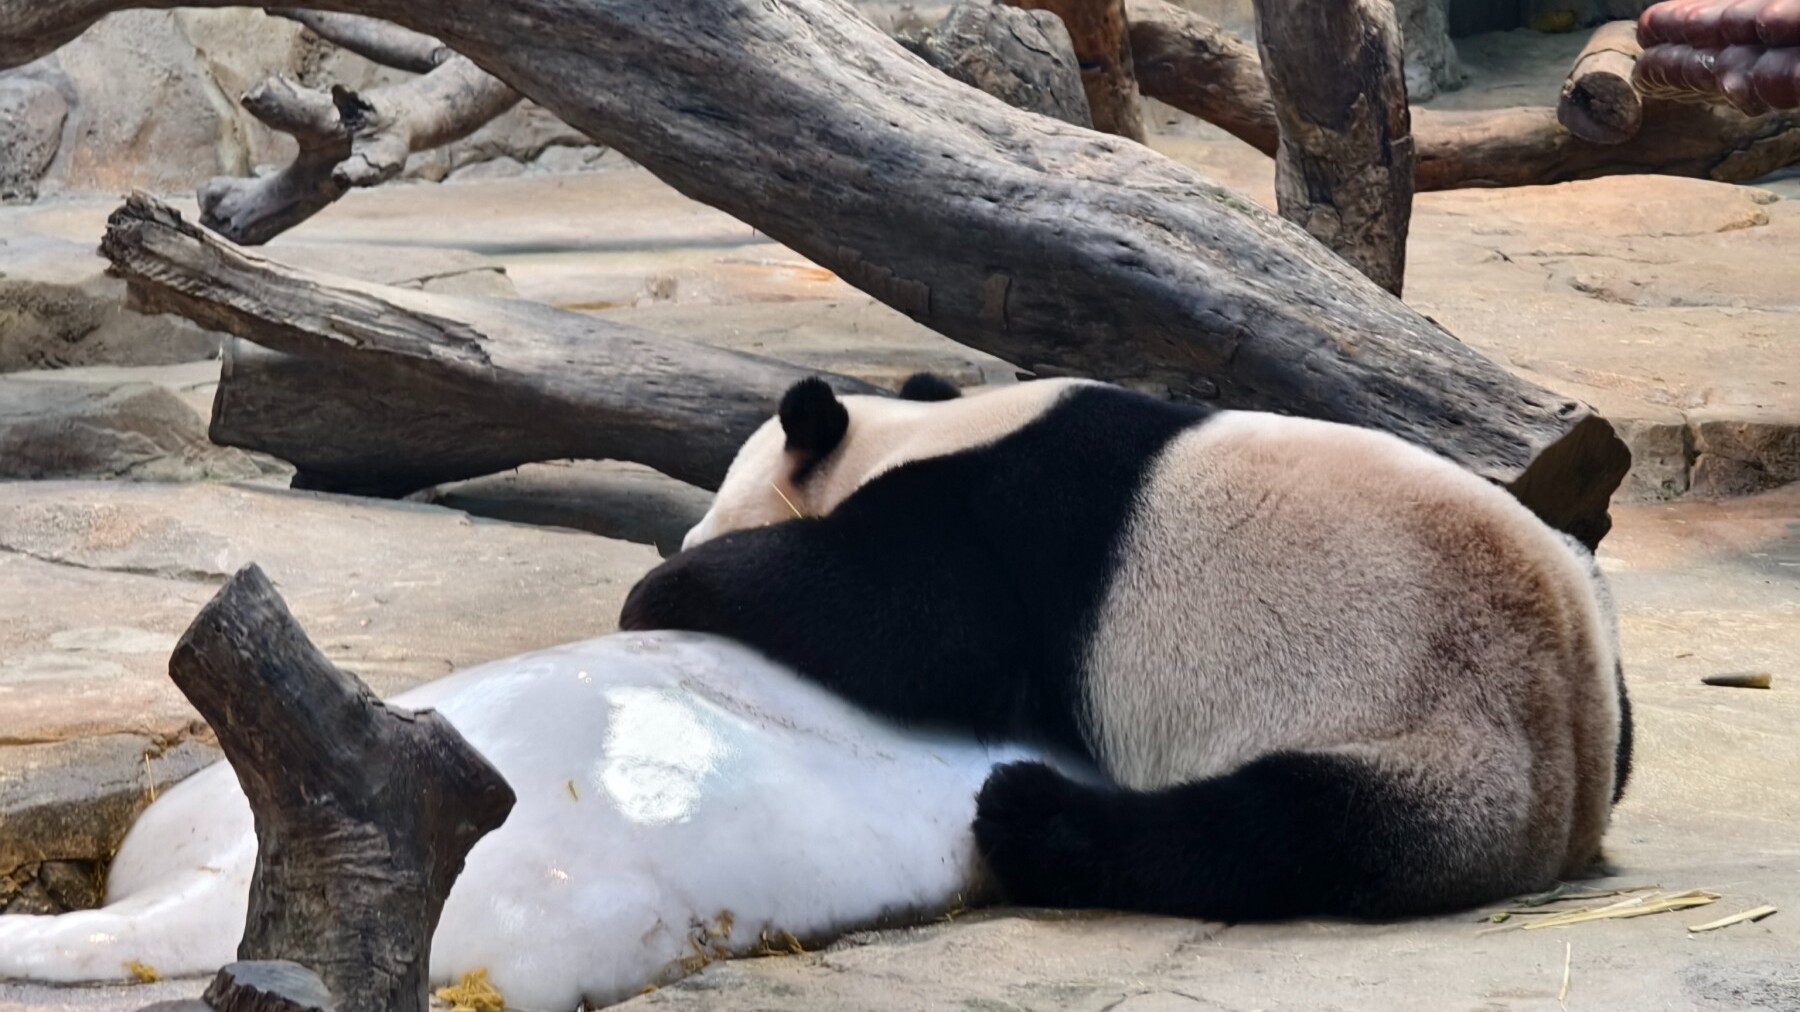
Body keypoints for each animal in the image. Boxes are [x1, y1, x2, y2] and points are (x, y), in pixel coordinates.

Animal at [619, 372, 1634, 921]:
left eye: (716, 507)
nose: (683, 539)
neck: (919, 433)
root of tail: (1569, 803)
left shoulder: (995, 520)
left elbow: (923, 629)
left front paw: (662, 591)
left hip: (1419, 740)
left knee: (1257, 831)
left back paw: (1030, 815)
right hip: (1584, 624)